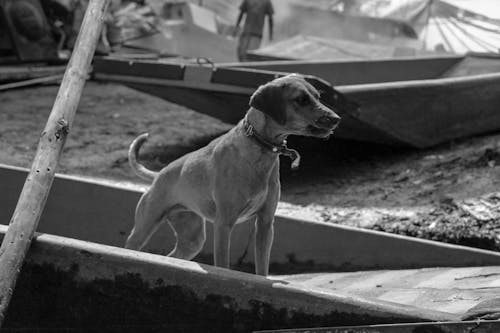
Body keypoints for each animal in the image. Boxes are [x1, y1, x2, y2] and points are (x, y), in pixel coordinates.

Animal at [125, 74, 340, 274]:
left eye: (318, 97)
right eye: (301, 99)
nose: (337, 119)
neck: (260, 148)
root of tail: (159, 174)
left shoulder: (265, 224)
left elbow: (262, 270)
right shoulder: (224, 224)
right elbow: (223, 265)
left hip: (192, 238)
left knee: (173, 257)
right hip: (144, 227)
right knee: (132, 245)